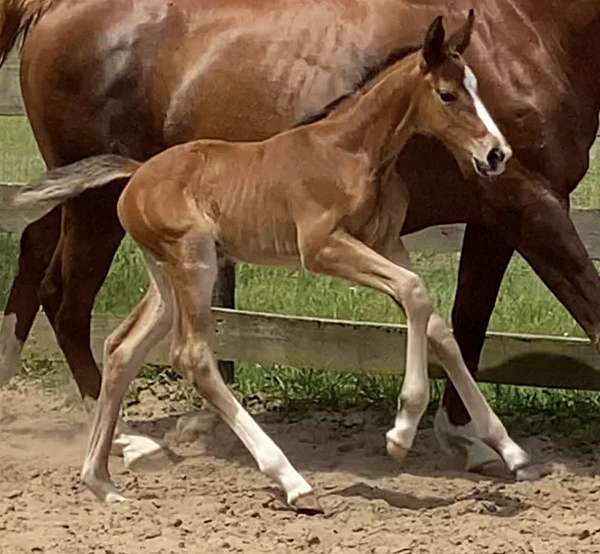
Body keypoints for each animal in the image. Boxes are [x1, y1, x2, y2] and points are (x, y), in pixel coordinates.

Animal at [0, 1, 596, 470]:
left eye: (475, 88)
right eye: (450, 94)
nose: (496, 152)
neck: (533, 28)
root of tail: (51, 8)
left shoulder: (487, 218)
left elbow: (461, 321)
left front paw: (477, 441)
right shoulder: (528, 202)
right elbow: (587, 309)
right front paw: (415, 430)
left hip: (82, 197)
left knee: (35, 250)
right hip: (97, 210)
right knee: (68, 302)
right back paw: (127, 440)